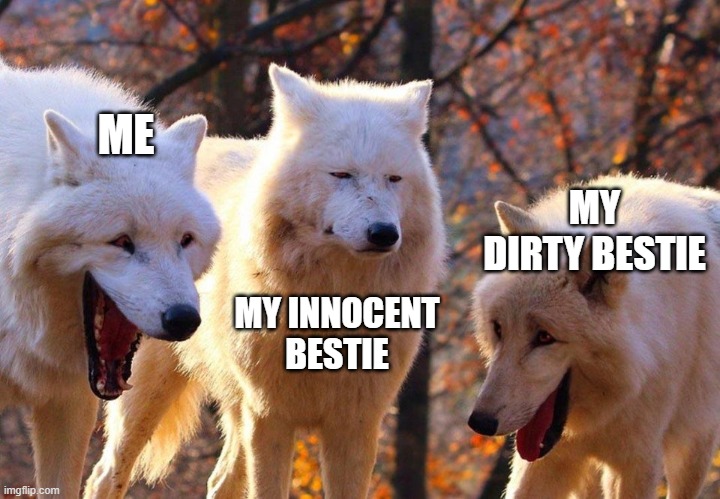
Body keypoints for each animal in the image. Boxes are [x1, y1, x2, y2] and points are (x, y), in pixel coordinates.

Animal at [85, 64, 446, 498]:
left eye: (394, 179)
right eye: (342, 174)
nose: (384, 234)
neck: (331, 303)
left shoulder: (356, 423)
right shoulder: (269, 415)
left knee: (220, 480)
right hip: (148, 392)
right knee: (105, 475)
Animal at [468, 175, 720, 498]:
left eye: (545, 337)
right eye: (499, 328)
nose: (480, 422)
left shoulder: (638, 463)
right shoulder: (545, 459)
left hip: (692, 450)